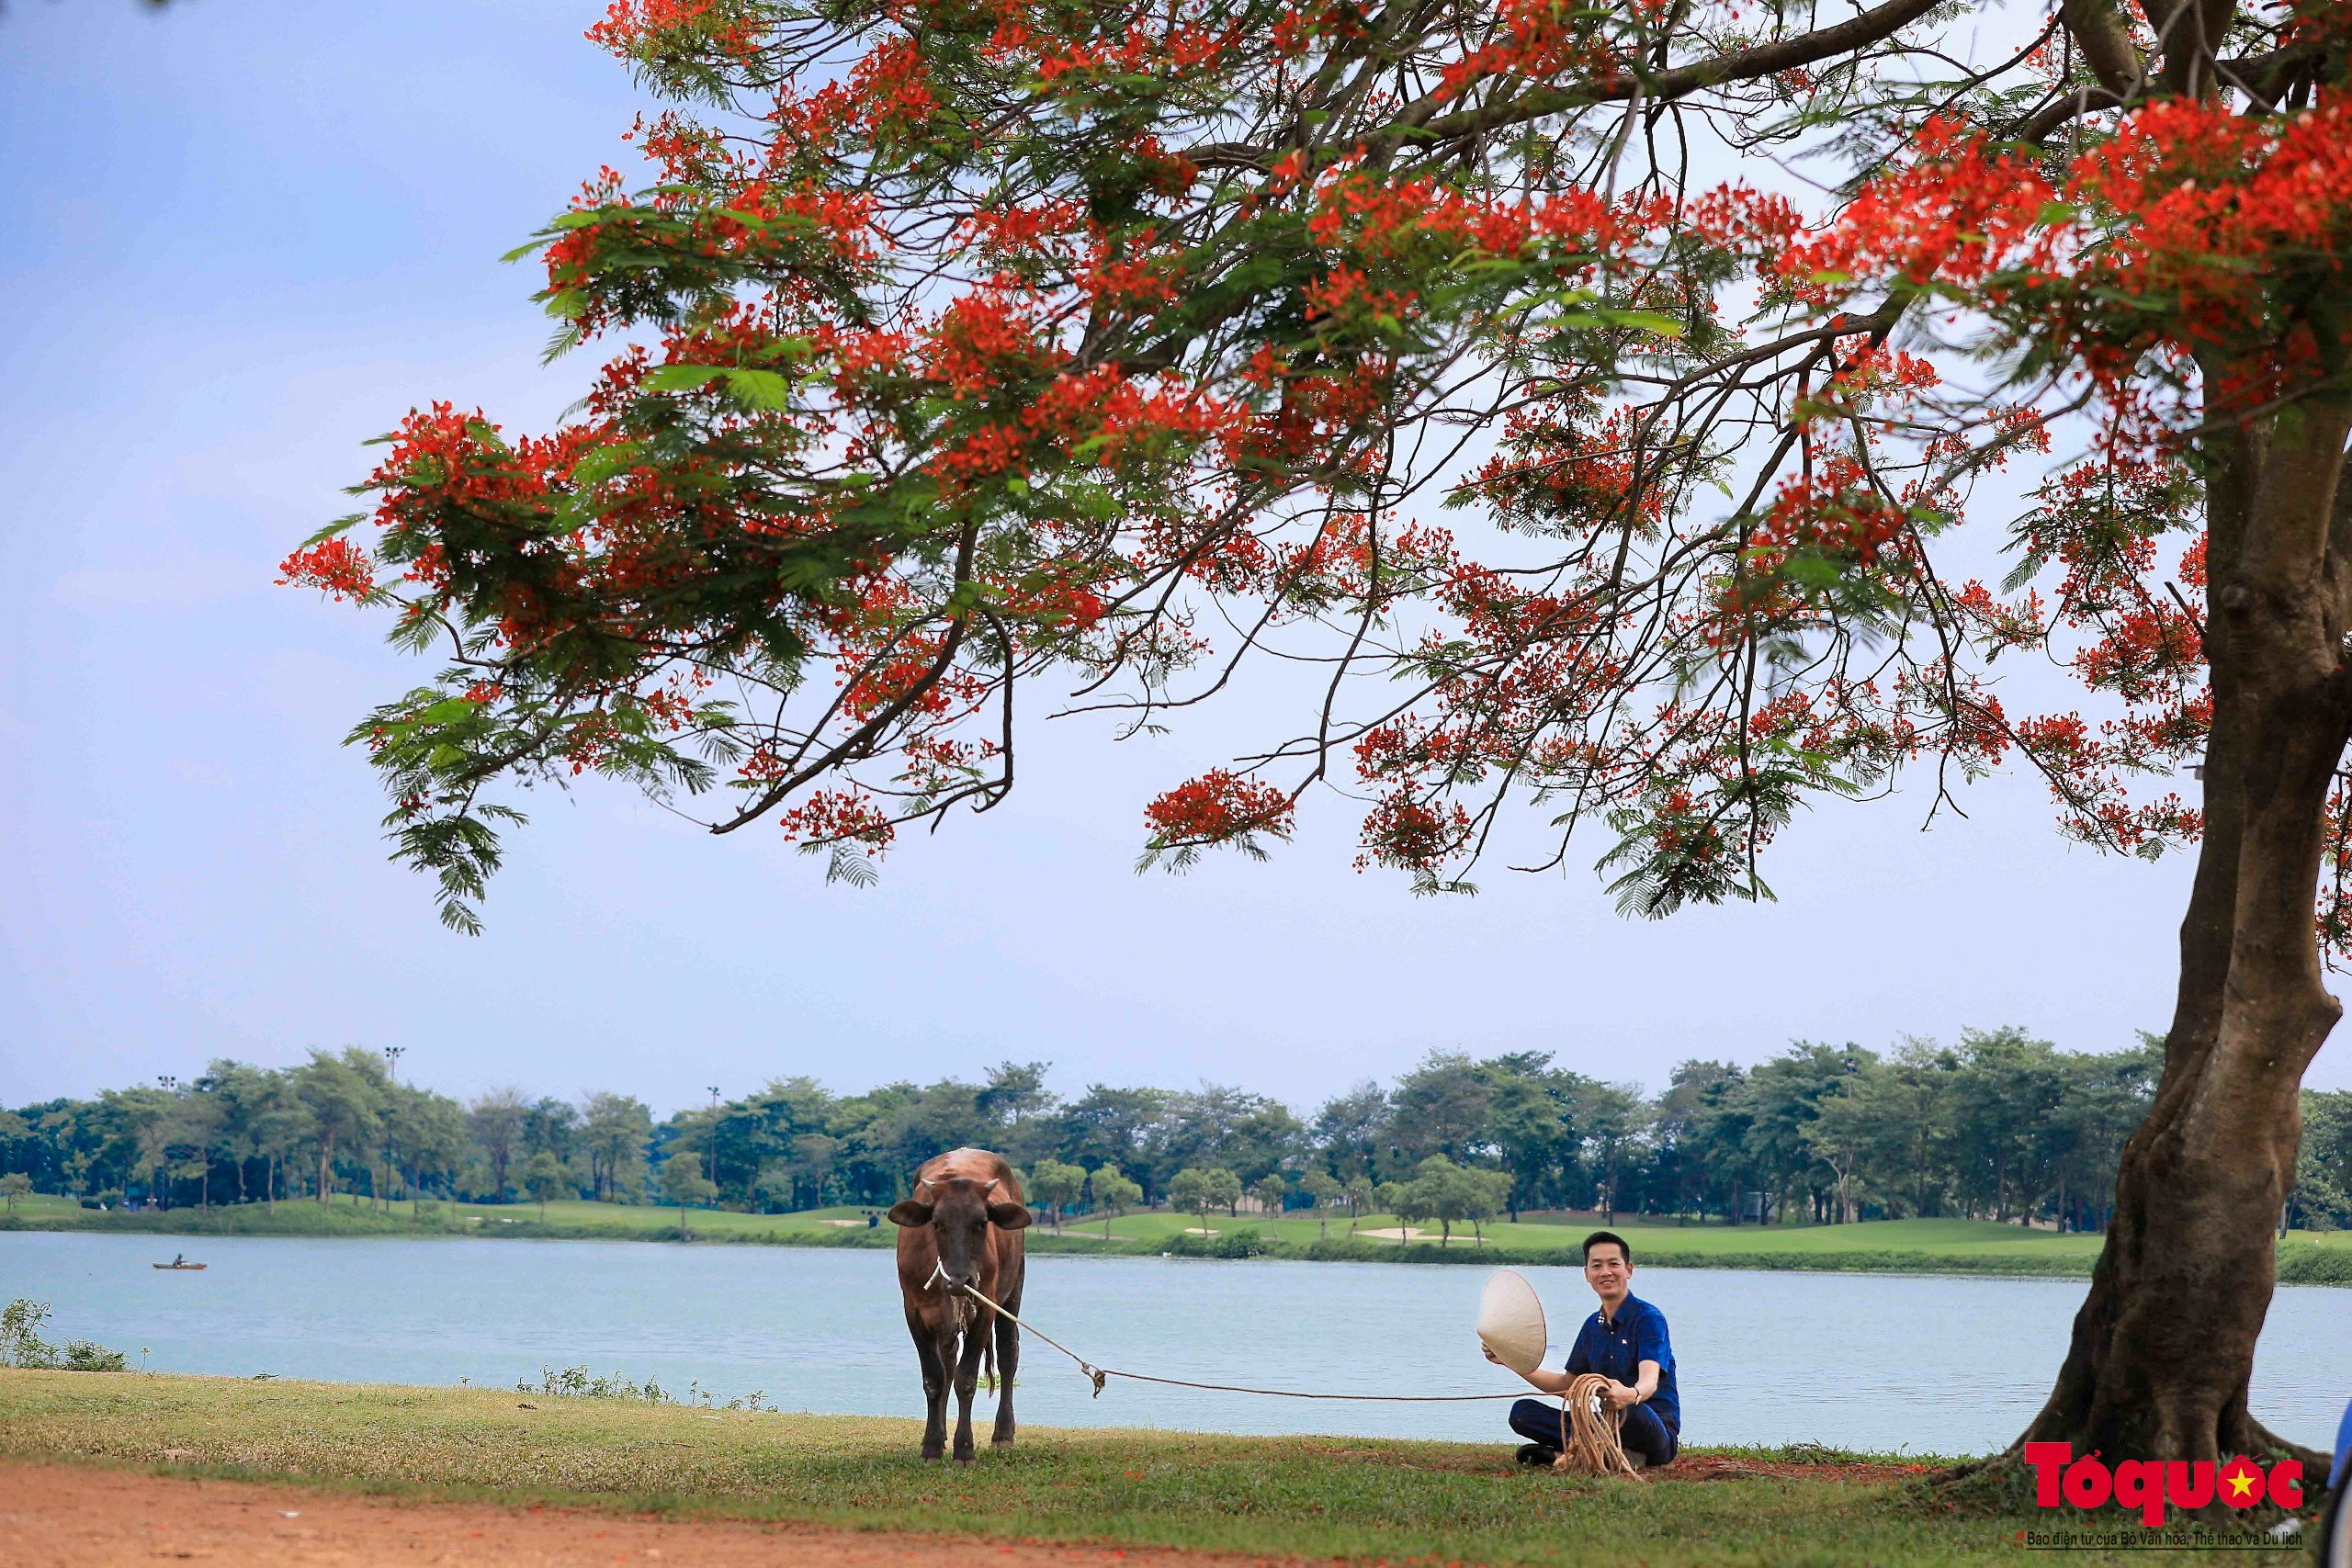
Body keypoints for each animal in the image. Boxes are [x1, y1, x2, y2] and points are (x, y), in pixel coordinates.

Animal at [884, 1146, 1030, 1466]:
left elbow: (966, 1380)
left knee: (1008, 1355)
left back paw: (1003, 1434)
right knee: (948, 1363)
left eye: (982, 1222)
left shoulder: (985, 1311)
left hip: (1013, 1291)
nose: (960, 1280)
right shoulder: (914, 1312)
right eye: (937, 1223)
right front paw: (931, 1446)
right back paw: (940, 1434)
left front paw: (964, 1450)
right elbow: (934, 1378)